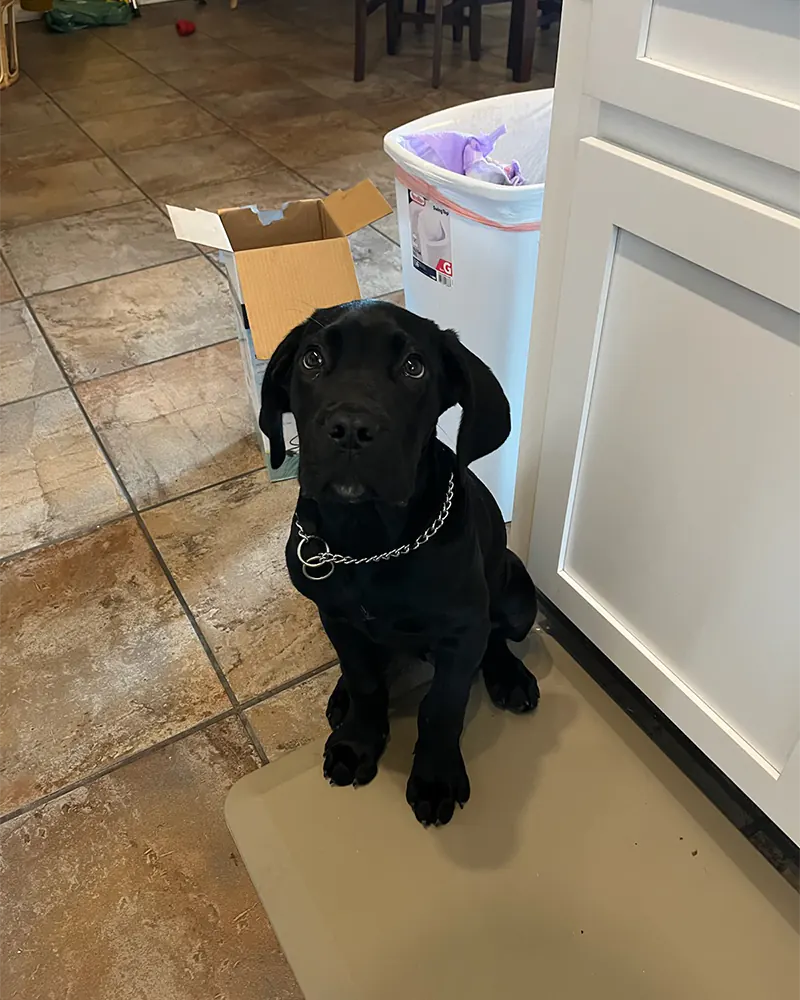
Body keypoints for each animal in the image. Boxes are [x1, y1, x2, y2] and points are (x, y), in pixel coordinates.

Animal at [260, 298, 540, 828]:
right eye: (311, 359)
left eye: (414, 367)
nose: (351, 428)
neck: (367, 543)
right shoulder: (336, 615)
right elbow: (365, 679)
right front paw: (357, 742)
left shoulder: (462, 630)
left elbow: (442, 705)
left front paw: (435, 777)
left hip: (519, 597)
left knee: (496, 636)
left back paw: (509, 676)